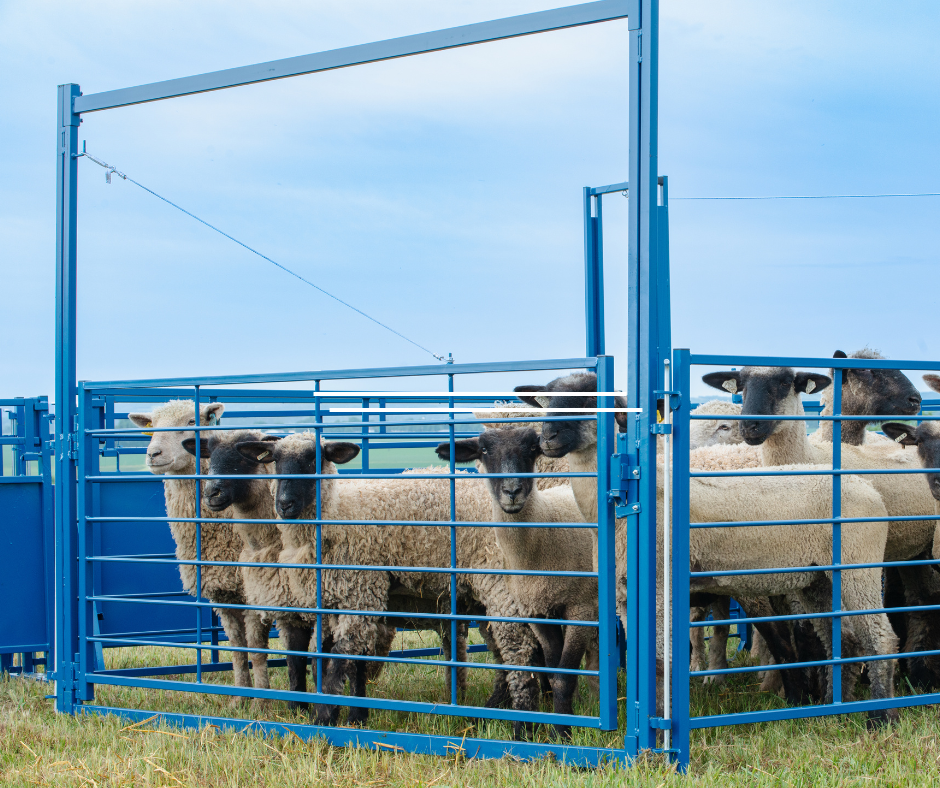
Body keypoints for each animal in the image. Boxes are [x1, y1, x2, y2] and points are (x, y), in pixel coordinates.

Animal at [127, 401, 257, 691]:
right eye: (153, 425)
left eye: (190, 422)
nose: (153, 454)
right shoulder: (224, 592)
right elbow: (238, 646)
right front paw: (242, 695)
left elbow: (257, 648)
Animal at [235, 433, 543, 739]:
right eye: (275, 460)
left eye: (314, 459)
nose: (284, 504)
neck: (336, 514)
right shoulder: (341, 600)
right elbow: (344, 659)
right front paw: (356, 716)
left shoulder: (360, 591)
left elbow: (339, 658)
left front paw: (323, 719)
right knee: (511, 653)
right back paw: (492, 714)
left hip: (502, 586)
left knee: (519, 650)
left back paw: (523, 728)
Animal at [435, 425, 595, 728]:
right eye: (484, 451)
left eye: (532, 449)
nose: (511, 491)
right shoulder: (537, 611)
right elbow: (554, 671)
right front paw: (559, 724)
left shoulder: (583, 609)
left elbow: (564, 677)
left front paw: (564, 733)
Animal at [515, 373, 899, 724]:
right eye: (548, 401)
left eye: (592, 399)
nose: (547, 440)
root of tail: (869, 490)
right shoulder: (625, 595)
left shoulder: (661, 588)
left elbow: (660, 662)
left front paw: (660, 731)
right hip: (817, 579)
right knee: (843, 641)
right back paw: (835, 709)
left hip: (858, 567)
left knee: (880, 637)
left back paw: (881, 717)